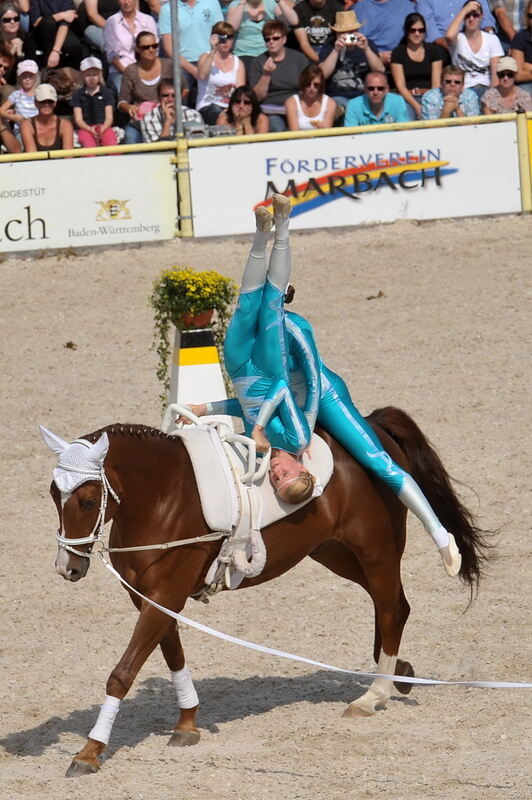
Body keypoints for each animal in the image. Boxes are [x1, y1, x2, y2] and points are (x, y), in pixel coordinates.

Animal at [44, 406, 486, 776]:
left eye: (87, 500)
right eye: (52, 493)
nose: (68, 568)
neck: (162, 497)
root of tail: (372, 426)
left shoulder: (166, 594)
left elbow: (123, 672)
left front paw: (89, 752)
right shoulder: (149, 597)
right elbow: (172, 654)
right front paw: (187, 723)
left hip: (374, 550)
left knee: (392, 606)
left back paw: (373, 694)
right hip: (332, 552)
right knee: (392, 603)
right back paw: (398, 673)